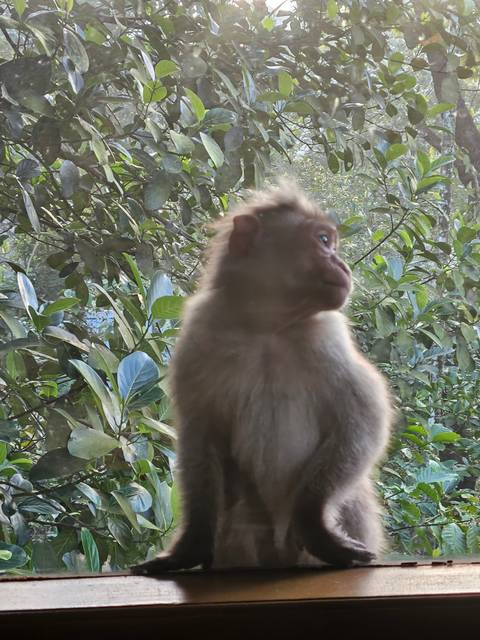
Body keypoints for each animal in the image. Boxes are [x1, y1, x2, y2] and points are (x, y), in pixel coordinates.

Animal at [132, 182, 392, 574]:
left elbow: (362, 419)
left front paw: (312, 519)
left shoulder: (329, 337)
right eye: (323, 240)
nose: (343, 265)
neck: (267, 325)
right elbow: (200, 433)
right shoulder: (199, 336)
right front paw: (190, 547)